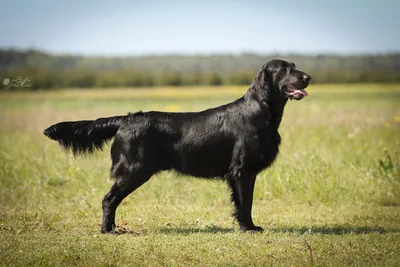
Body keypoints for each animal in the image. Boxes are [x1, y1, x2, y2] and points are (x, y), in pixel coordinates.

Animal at [44, 59, 312, 233]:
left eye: (294, 66)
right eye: (285, 69)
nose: (308, 77)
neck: (261, 109)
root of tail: (126, 119)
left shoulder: (249, 172)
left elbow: (247, 203)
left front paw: (251, 226)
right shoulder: (241, 171)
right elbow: (244, 204)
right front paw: (248, 229)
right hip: (134, 170)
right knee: (108, 200)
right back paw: (107, 230)